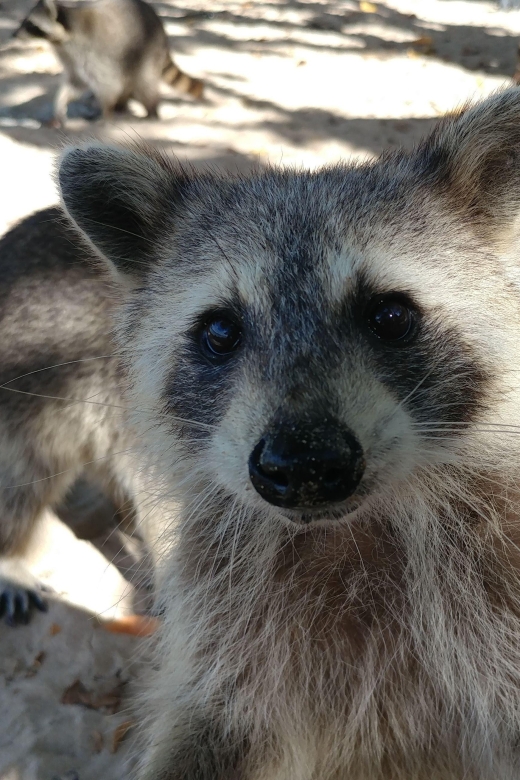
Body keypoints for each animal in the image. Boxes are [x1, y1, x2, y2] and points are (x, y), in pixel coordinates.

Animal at [13, 0, 204, 126]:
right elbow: (76, 83)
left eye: (30, 24)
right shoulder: (70, 57)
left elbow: (109, 84)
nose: (14, 34)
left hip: (146, 50)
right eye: (25, 21)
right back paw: (123, 105)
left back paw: (151, 110)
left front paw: (106, 112)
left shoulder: (95, 52)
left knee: (144, 83)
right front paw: (61, 102)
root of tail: (161, 28)